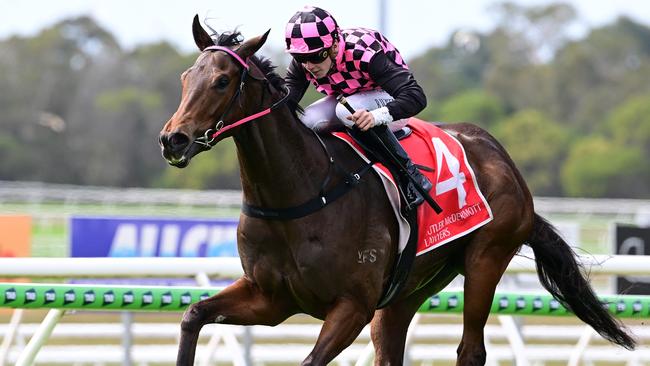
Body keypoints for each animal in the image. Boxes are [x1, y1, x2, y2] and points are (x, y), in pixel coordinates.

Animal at [157, 17, 632, 366]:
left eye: (222, 81)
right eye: (185, 77)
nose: (173, 139)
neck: (301, 194)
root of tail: (504, 160)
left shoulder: (352, 305)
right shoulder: (271, 299)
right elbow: (192, 316)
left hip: (486, 260)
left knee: (470, 350)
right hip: (408, 289)